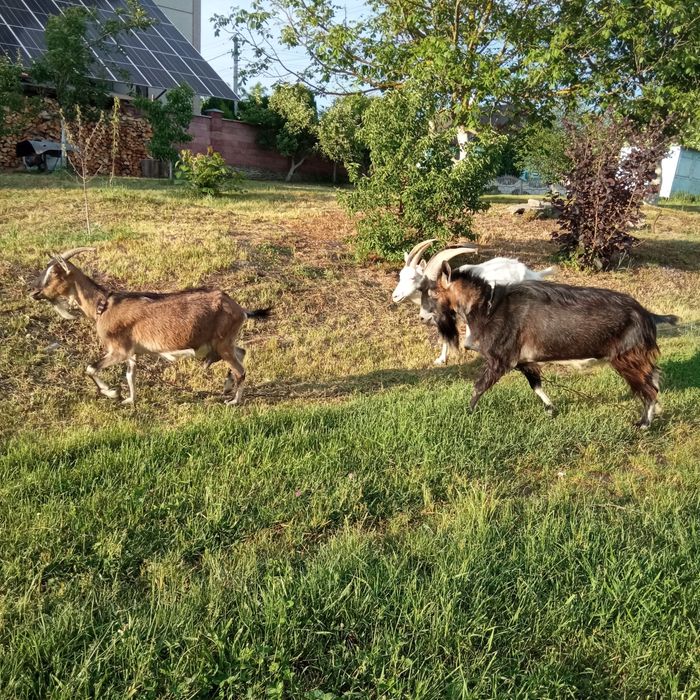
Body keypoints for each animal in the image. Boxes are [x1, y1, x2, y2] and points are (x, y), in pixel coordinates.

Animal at [30, 248, 270, 405]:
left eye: (55, 273)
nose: (34, 292)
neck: (103, 306)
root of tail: (240, 309)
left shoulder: (119, 349)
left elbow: (91, 368)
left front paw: (112, 393)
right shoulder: (132, 352)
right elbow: (130, 376)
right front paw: (129, 400)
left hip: (221, 342)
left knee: (240, 369)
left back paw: (234, 401)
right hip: (223, 342)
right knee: (241, 352)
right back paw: (227, 386)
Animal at [431, 263, 678, 427]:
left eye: (433, 292)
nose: (427, 318)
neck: (488, 308)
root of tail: (647, 315)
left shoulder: (501, 358)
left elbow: (478, 387)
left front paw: (467, 413)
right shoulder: (524, 361)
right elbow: (536, 385)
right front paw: (551, 409)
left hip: (628, 357)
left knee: (649, 389)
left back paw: (644, 423)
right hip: (638, 358)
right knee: (654, 379)